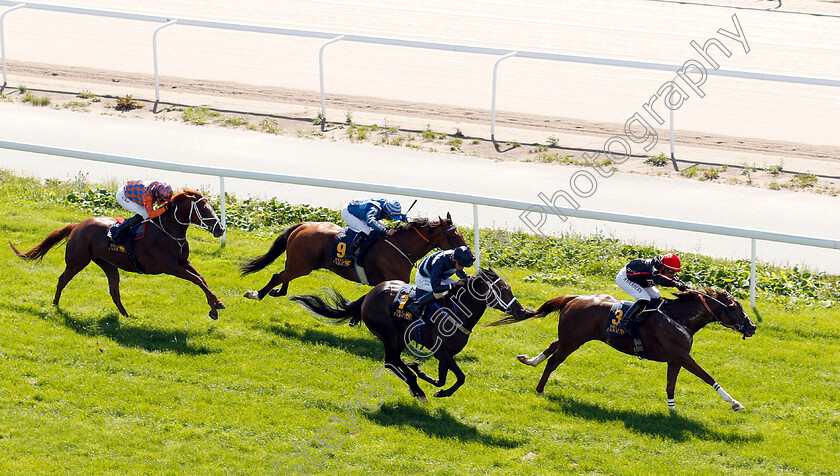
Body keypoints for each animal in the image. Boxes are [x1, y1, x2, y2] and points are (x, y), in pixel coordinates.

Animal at [10, 190, 226, 320]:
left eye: (212, 207)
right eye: (204, 209)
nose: (220, 229)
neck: (169, 231)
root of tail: (77, 225)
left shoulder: (183, 261)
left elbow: (201, 278)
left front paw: (215, 305)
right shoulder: (169, 266)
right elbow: (196, 280)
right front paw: (216, 305)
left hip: (108, 264)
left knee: (114, 290)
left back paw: (126, 316)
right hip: (77, 261)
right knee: (62, 279)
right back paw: (54, 305)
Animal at [241, 214, 466, 300]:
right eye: (453, 236)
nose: (470, 257)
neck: (401, 246)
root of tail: (304, 225)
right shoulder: (395, 280)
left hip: (299, 264)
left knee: (283, 276)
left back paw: (277, 292)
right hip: (301, 265)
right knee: (277, 276)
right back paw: (257, 294)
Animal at [294, 268, 532, 402]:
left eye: (509, 288)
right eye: (502, 290)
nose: (521, 311)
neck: (457, 310)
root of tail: (369, 294)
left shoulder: (443, 354)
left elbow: (441, 378)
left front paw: (421, 371)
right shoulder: (442, 352)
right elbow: (460, 377)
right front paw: (439, 391)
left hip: (401, 337)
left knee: (394, 360)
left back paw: (413, 379)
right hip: (390, 334)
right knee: (390, 361)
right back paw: (416, 388)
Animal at [486, 288, 756, 410]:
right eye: (734, 306)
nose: (752, 326)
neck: (678, 318)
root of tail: (574, 298)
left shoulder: (675, 359)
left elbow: (670, 386)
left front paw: (672, 413)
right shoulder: (682, 355)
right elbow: (707, 376)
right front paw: (735, 403)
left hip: (571, 338)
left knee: (552, 347)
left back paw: (529, 360)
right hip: (573, 341)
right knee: (554, 361)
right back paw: (540, 390)